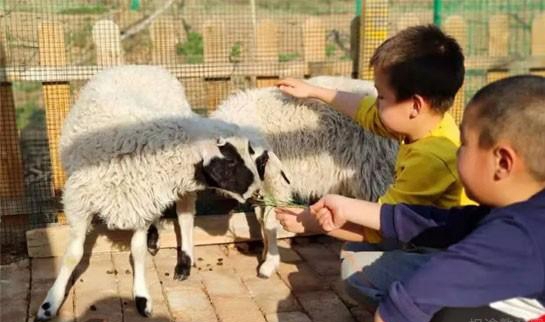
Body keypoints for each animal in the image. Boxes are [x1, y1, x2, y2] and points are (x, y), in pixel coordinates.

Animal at [34, 65, 266, 320]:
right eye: (231, 159)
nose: (257, 189)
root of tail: (140, 66)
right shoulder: (81, 201)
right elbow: (73, 254)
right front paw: (50, 303)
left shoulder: (141, 204)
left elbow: (137, 252)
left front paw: (142, 297)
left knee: (185, 217)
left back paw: (182, 261)